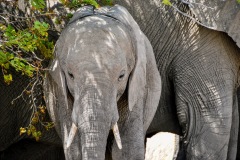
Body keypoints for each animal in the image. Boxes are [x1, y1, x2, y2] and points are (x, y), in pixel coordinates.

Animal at [44, 5, 162, 160]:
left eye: (121, 76)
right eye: (70, 75)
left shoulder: (138, 88)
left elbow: (128, 148)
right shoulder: (60, 91)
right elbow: (74, 149)